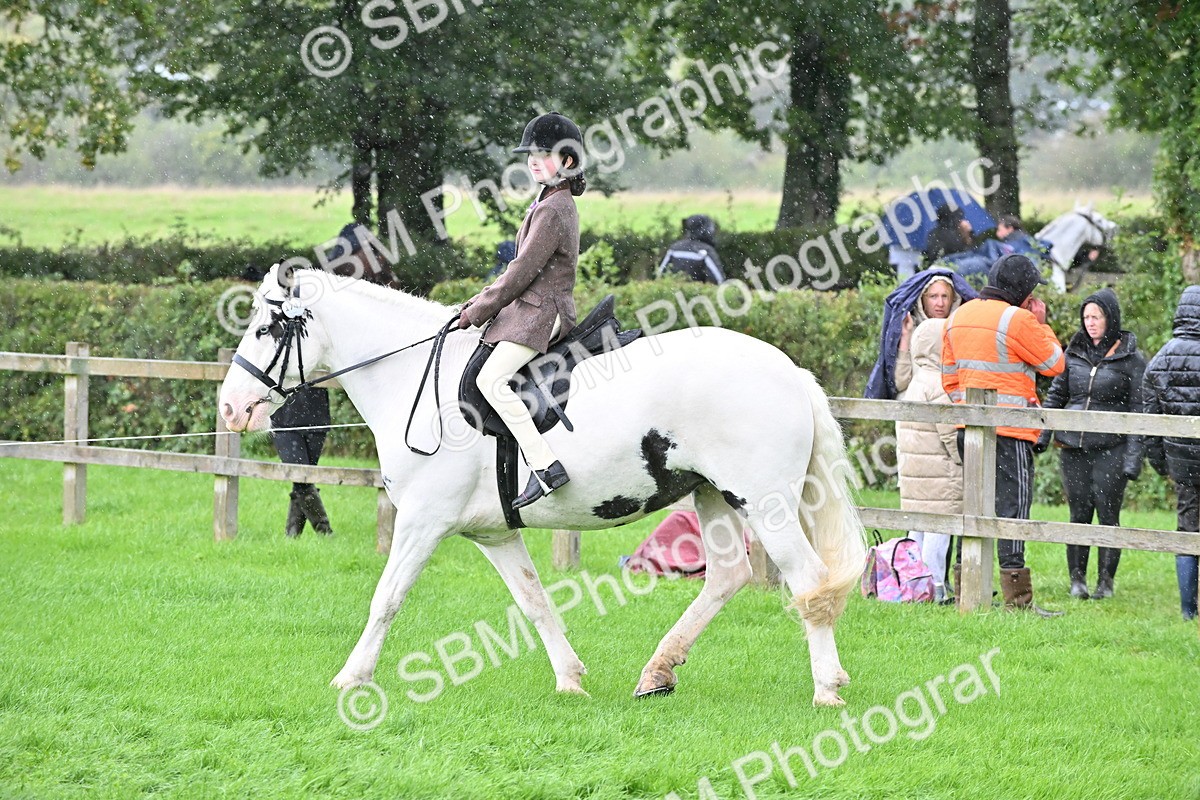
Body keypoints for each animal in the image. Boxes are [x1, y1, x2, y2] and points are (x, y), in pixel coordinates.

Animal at [217, 263, 867, 706]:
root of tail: (788, 369)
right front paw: (570, 680)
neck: (414, 378)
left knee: (808, 581)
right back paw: (657, 671)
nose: (230, 407)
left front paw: (351, 678)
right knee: (728, 576)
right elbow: (535, 602)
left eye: (267, 327)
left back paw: (827, 688)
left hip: (766, 503)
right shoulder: (495, 535)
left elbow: (387, 598)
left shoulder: (424, 520)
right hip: (710, 493)